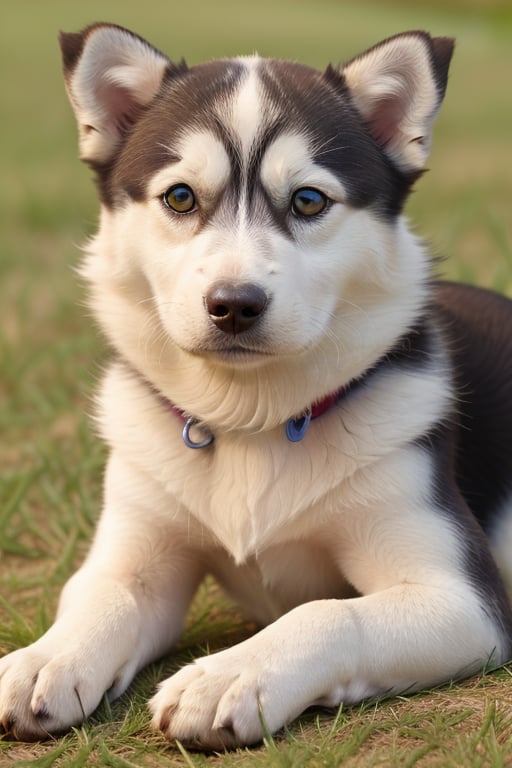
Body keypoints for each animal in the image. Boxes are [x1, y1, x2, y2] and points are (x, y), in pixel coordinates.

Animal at [1, 25, 512, 752]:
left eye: (309, 200)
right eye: (179, 197)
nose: (234, 306)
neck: (250, 420)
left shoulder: (463, 600)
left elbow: (329, 613)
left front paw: (229, 676)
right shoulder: (137, 549)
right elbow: (104, 595)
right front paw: (48, 656)